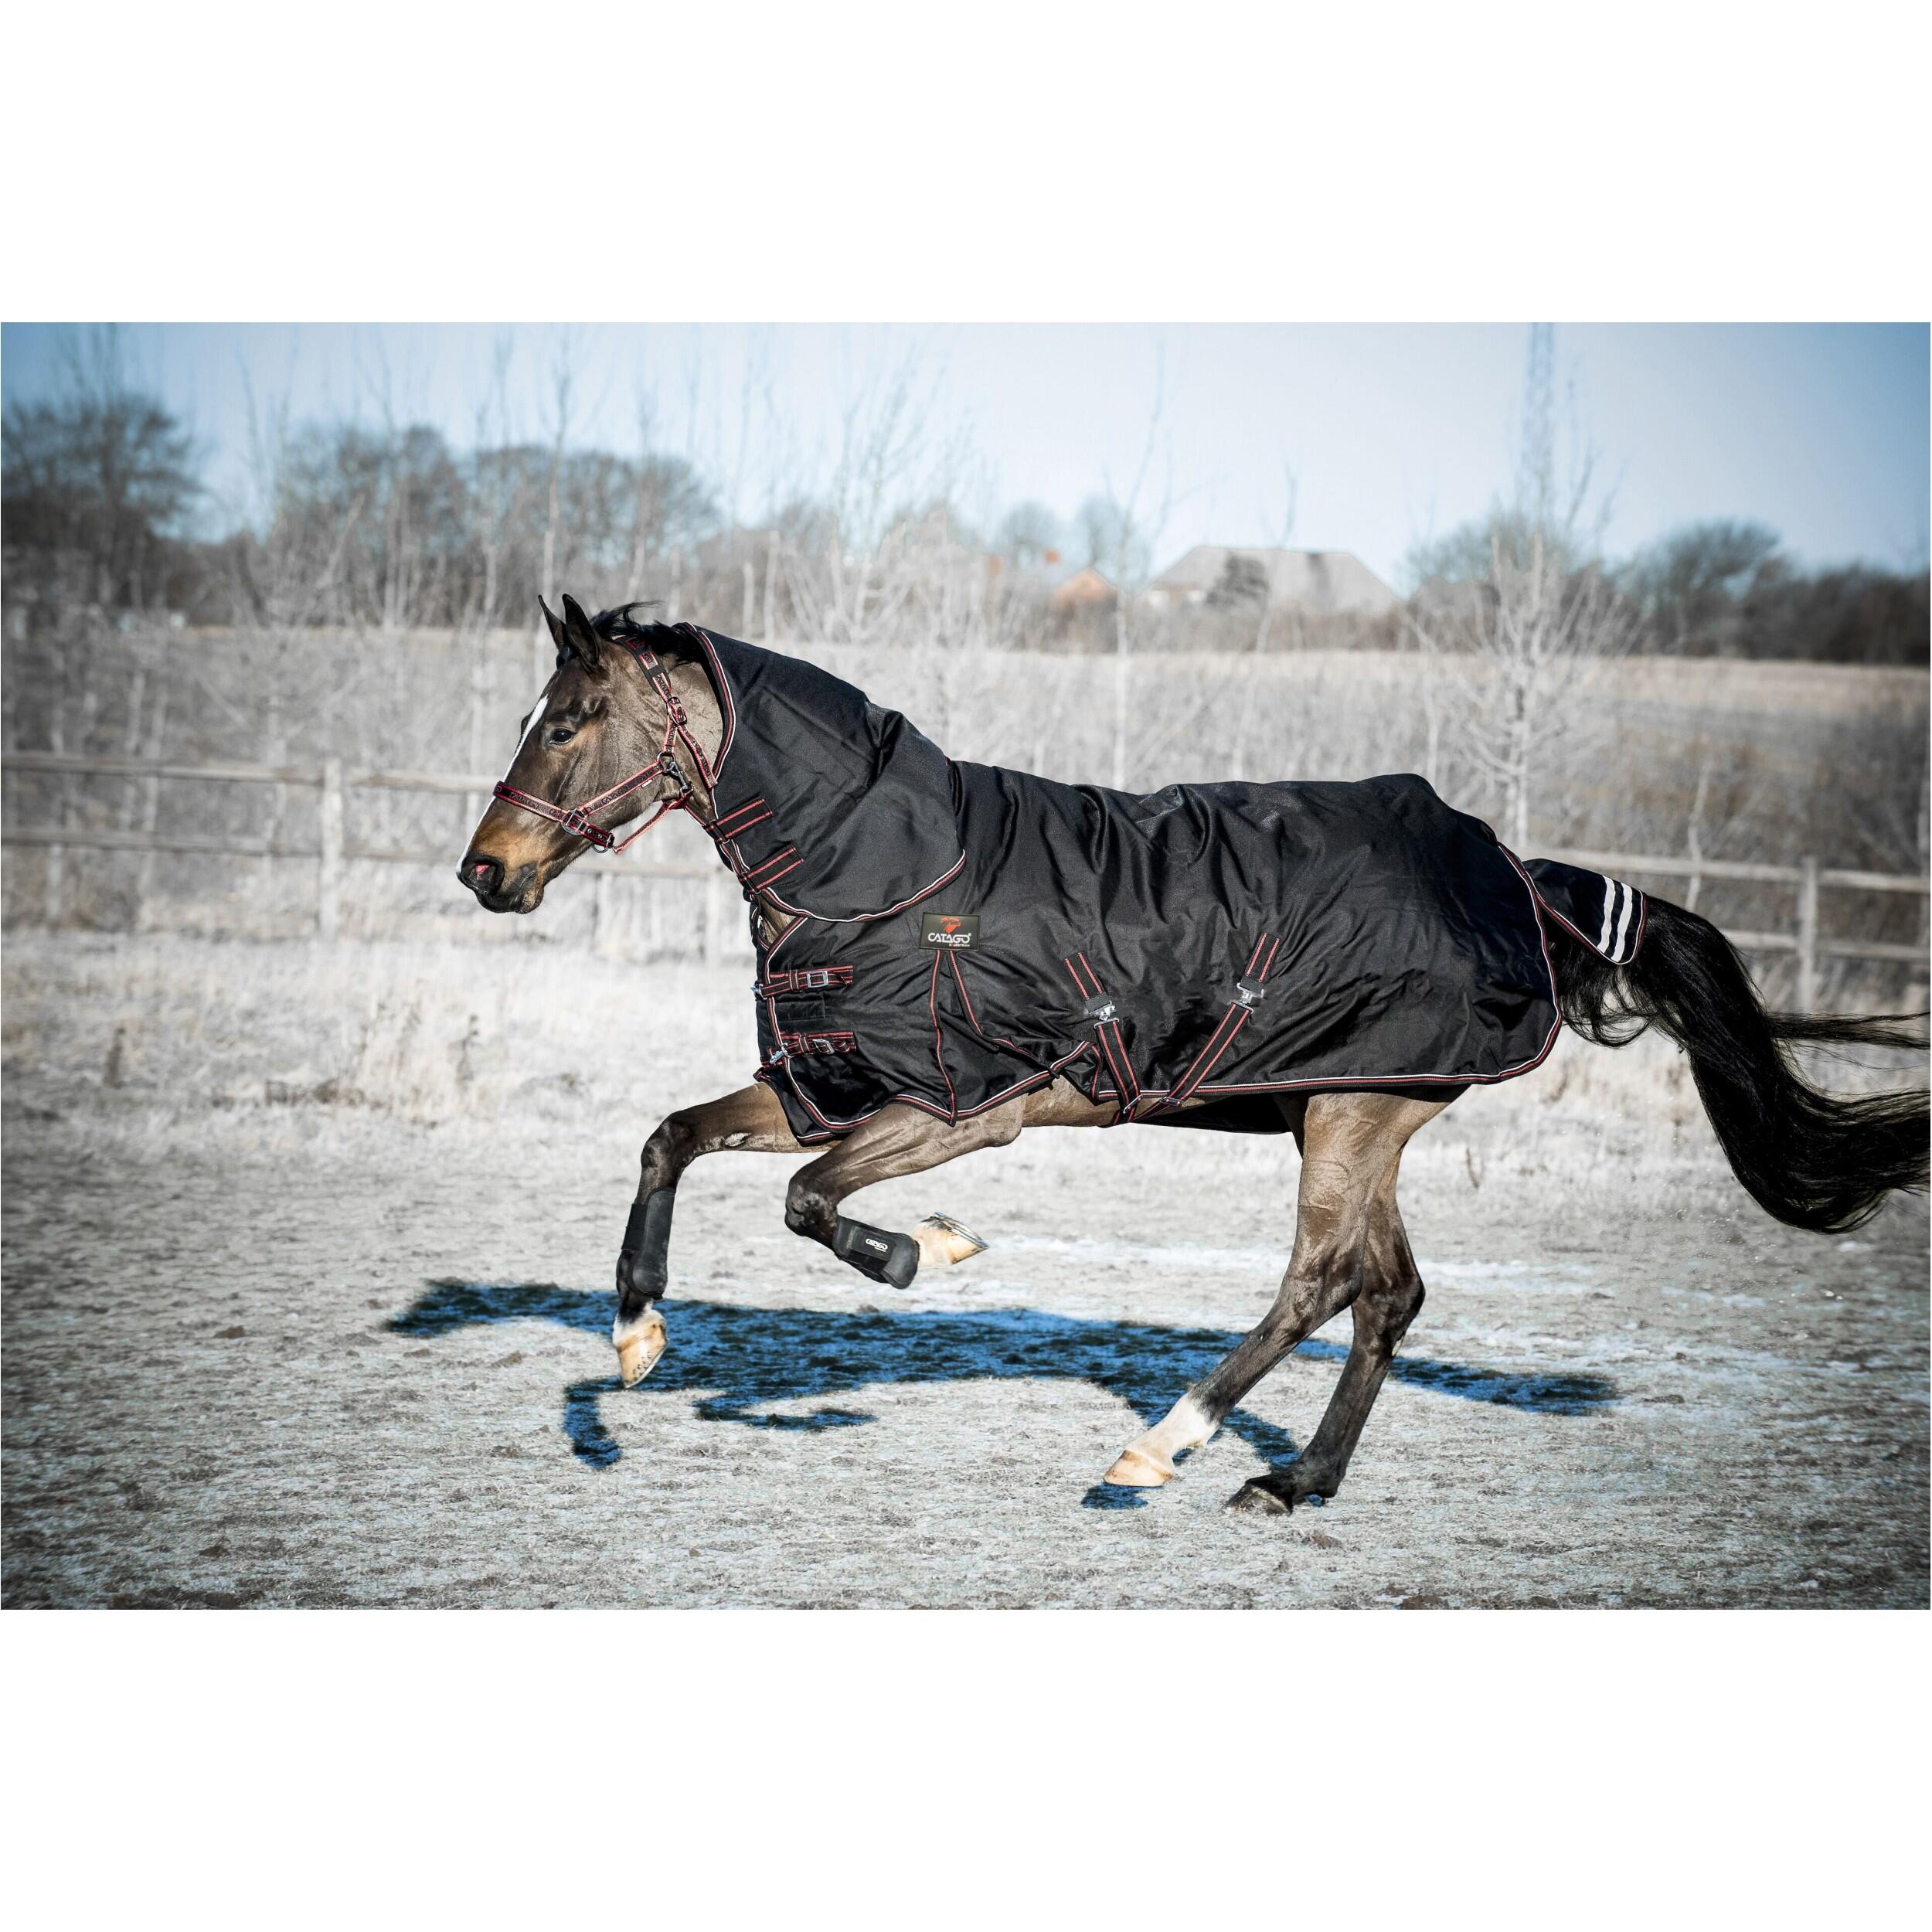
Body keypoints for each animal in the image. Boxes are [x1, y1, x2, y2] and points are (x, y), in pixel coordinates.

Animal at [457, 594, 1927, 1514]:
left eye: (566, 720)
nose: (487, 871)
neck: (888, 871)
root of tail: (1523, 877)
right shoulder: (825, 1085)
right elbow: (672, 1139)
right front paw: (636, 1342)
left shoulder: (965, 1106)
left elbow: (809, 1204)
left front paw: (927, 1251)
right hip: (1354, 1117)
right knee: (1388, 1294)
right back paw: (1293, 1482)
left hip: (1353, 1112)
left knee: (1321, 1281)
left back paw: (1157, 1450)